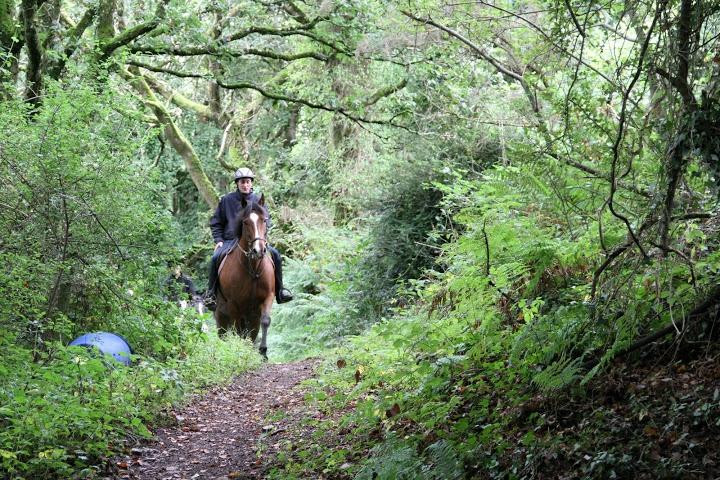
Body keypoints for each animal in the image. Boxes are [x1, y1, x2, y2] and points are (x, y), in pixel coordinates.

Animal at [214, 193, 276, 358]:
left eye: (264, 220)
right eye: (246, 222)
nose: (258, 250)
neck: (253, 268)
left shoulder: (267, 297)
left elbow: (265, 321)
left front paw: (263, 351)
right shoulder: (234, 304)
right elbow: (237, 330)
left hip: (251, 315)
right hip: (222, 314)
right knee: (224, 333)